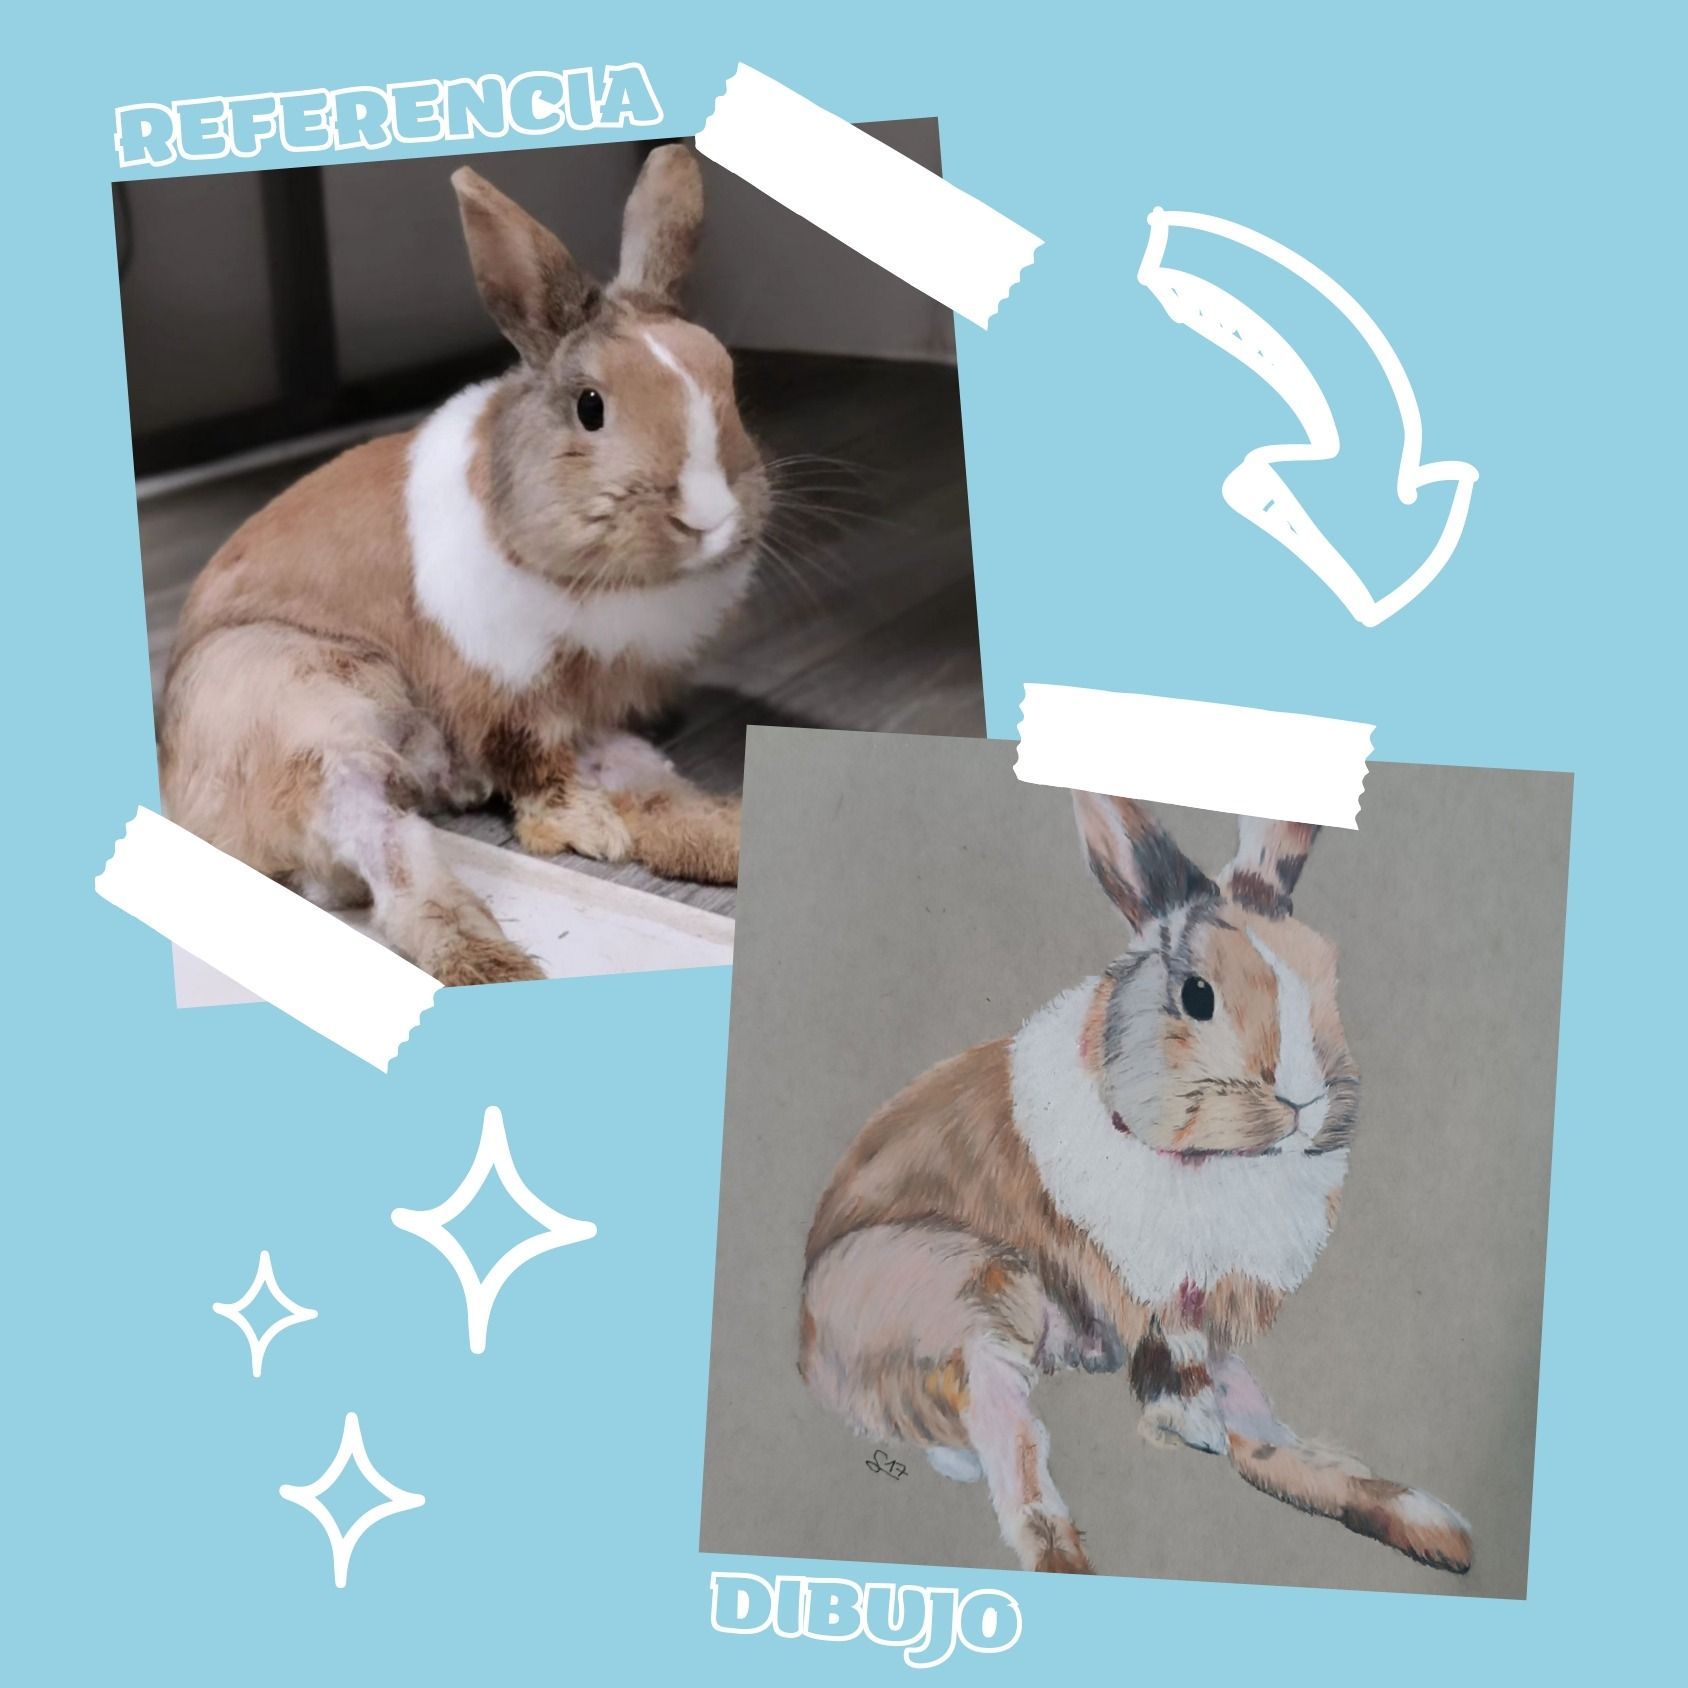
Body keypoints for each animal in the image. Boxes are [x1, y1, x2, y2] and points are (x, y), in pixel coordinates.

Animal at [158, 145, 766, 985]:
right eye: (591, 407)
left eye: (730, 383)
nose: (708, 517)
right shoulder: (504, 691)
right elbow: (538, 774)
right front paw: (584, 829)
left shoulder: (589, 708)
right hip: (313, 705)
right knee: (399, 863)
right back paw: (499, 964)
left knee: (660, 797)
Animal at [800, 792, 1472, 1576]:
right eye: (1198, 995)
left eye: (1328, 973)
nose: (1306, 1102)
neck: (1208, 1156)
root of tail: (809, 1352)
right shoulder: (1159, 1295)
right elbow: (1181, 1379)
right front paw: (1189, 1425)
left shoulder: (1209, 1307)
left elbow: (1245, 1421)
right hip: (970, 1287)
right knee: (1012, 1446)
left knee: (1260, 1440)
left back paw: (1434, 1524)